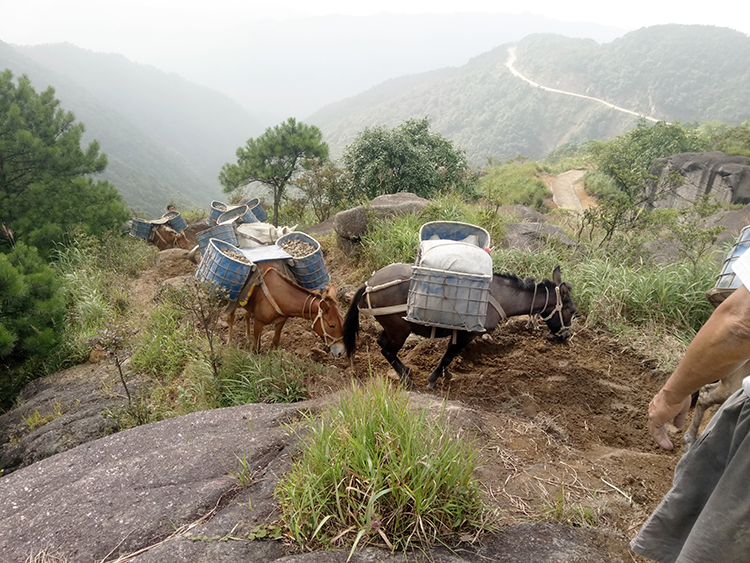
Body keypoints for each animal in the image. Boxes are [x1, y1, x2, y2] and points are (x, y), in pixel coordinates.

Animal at [344, 264, 580, 388]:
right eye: (571, 311)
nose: (566, 336)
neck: (498, 295)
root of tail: (369, 284)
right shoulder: (468, 334)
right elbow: (449, 355)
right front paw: (433, 379)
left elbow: (450, 356)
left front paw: (445, 375)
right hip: (399, 330)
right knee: (387, 350)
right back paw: (406, 378)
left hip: (393, 329)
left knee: (382, 343)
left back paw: (406, 371)